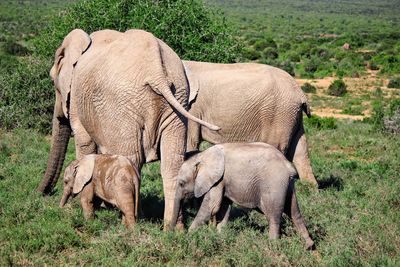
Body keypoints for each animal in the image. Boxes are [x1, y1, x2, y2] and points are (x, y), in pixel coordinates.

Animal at [37, 29, 219, 230]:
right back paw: (173, 230)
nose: (41, 193)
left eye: (53, 81)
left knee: (131, 159)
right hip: (176, 101)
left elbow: (85, 144)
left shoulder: (78, 99)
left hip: (123, 105)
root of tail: (156, 72)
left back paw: (130, 223)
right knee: (171, 165)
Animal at [175, 143, 316, 250]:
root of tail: (288, 167)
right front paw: (221, 236)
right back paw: (309, 247)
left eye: (181, 183)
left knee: (273, 216)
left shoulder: (217, 180)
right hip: (287, 186)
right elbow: (223, 208)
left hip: (274, 184)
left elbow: (211, 207)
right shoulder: (223, 180)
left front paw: (188, 235)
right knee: (294, 212)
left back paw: (272, 246)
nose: (173, 233)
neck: (201, 156)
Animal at [183, 60, 318, 186]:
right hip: (292, 114)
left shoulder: (192, 108)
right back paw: (310, 188)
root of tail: (300, 92)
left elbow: (190, 142)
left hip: (279, 113)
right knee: (300, 150)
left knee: (277, 148)